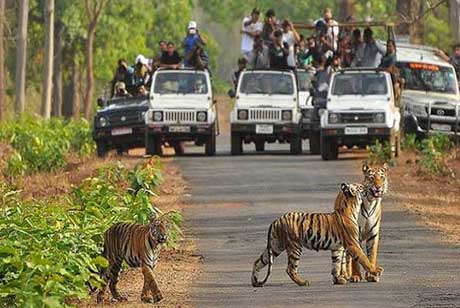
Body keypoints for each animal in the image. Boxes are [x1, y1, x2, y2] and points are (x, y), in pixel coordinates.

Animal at [250, 183, 382, 286]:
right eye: (361, 187)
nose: (368, 187)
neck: (352, 207)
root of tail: (277, 220)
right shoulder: (353, 244)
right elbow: (364, 258)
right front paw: (376, 271)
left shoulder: (337, 248)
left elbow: (336, 264)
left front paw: (338, 280)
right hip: (294, 246)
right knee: (290, 269)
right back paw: (303, 282)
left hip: (275, 246)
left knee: (258, 261)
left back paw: (255, 282)